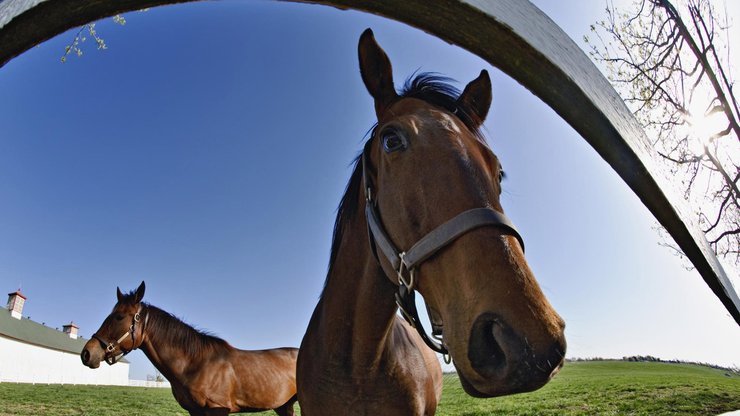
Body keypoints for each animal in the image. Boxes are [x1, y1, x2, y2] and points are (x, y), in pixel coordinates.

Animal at [80, 282, 298, 416]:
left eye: (119, 317)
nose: (87, 353)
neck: (196, 364)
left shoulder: (218, 409)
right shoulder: (195, 412)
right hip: (284, 407)